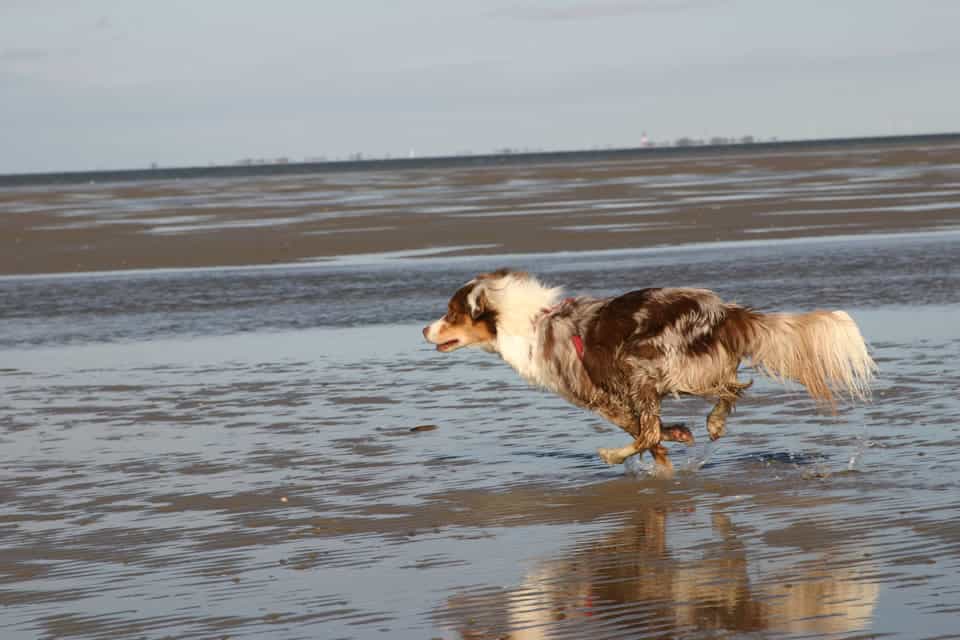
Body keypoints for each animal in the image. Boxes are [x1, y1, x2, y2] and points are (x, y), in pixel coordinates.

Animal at [426, 268, 876, 472]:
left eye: (450, 314)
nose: (424, 329)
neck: (530, 323)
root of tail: (724, 312)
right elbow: (650, 430)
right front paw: (670, 453)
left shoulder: (594, 392)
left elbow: (641, 428)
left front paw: (664, 450)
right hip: (689, 366)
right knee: (731, 387)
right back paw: (713, 424)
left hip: (642, 361)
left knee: (689, 407)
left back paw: (615, 454)